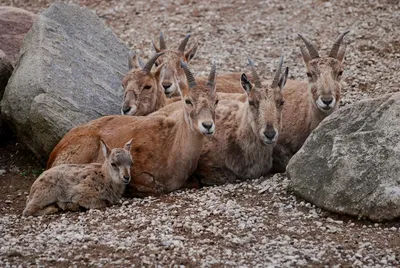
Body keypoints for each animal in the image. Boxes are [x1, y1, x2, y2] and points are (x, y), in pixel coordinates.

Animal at [47, 62, 219, 197]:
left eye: (216, 100)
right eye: (188, 101)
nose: (207, 125)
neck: (171, 148)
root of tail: (56, 150)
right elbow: (154, 187)